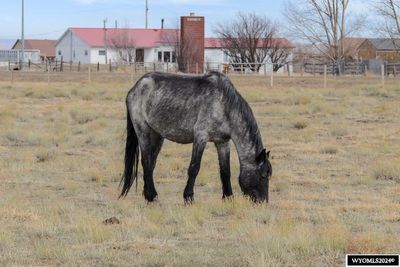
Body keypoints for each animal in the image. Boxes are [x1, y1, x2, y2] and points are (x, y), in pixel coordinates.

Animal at [119, 71, 272, 203]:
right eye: (264, 175)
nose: (263, 202)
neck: (224, 104)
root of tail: (136, 87)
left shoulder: (222, 142)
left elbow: (225, 170)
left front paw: (228, 197)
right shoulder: (200, 137)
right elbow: (194, 168)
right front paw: (188, 197)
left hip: (157, 135)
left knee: (151, 164)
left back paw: (149, 196)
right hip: (143, 132)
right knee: (146, 161)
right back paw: (151, 196)